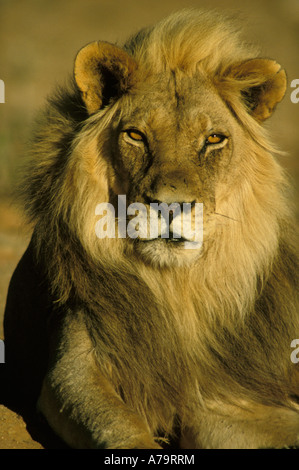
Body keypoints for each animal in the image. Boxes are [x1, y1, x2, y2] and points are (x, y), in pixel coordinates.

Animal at [2, 8, 299, 448]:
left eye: (213, 139)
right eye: (136, 135)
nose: (171, 206)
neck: (177, 287)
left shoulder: (225, 395)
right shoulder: (75, 365)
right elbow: (116, 426)